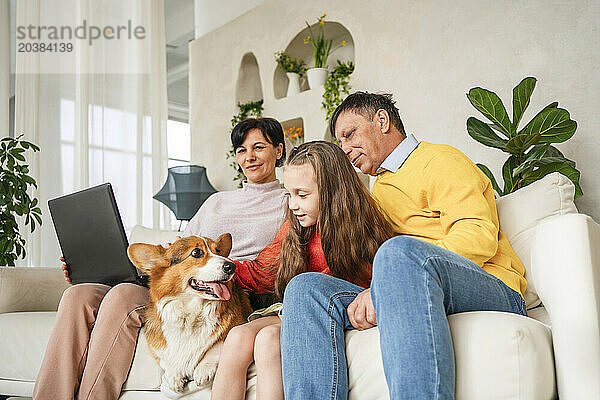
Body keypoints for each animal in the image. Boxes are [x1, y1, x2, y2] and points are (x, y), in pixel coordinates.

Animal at [126, 233, 251, 392]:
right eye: (196, 252)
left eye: (218, 251)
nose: (232, 266)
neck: (191, 312)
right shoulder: (157, 345)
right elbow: (165, 358)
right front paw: (173, 375)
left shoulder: (239, 325)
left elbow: (217, 345)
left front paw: (203, 369)